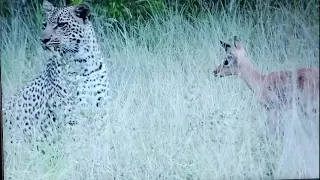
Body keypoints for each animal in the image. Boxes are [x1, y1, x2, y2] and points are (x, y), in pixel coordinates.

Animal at [3, 0, 110, 148]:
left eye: (61, 24)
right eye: (44, 25)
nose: (43, 40)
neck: (83, 64)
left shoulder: (101, 108)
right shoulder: (70, 116)